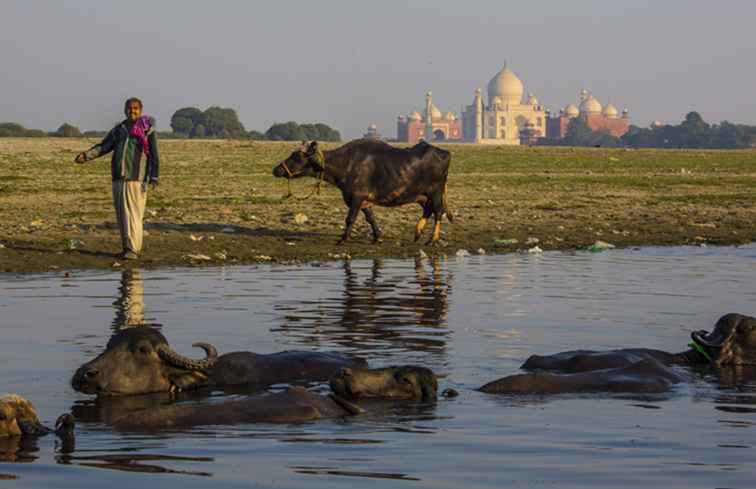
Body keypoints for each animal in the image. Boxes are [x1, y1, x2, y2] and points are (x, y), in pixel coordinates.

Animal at [274, 138, 452, 244]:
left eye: (297, 157)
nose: (276, 170)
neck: (345, 164)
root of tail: (444, 152)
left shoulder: (357, 197)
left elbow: (350, 218)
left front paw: (343, 239)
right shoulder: (364, 200)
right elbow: (370, 218)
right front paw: (377, 237)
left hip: (436, 191)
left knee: (438, 211)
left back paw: (432, 239)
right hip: (422, 195)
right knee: (428, 210)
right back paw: (417, 232)